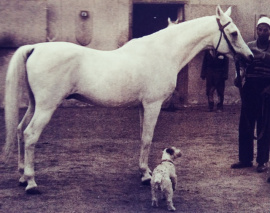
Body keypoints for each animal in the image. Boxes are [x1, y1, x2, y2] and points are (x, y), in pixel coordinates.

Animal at [2, 6, 253, 193]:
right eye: (233, 33)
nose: (249, 57)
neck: (163, 52)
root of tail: (35, 48)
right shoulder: (153, 105)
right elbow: (147, 139)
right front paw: (146, 176)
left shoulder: (142, 106)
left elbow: (142, 138)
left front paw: (143, 172)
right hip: (46, 106)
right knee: (30, 135)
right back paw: (31, 182)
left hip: (35, 104)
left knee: (20, 130)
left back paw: (22, 177)